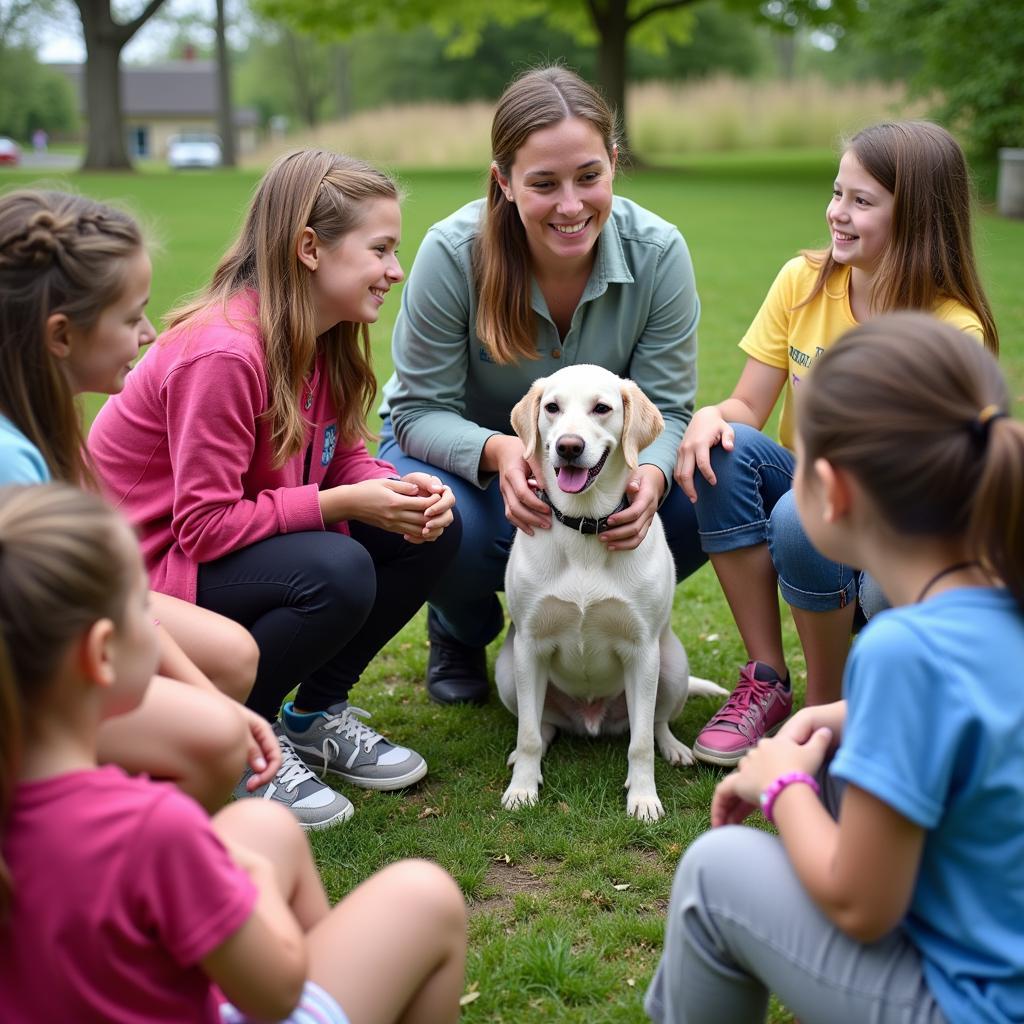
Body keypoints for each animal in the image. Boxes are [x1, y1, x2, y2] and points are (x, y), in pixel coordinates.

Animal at [497, 364, 729, 819]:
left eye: (601, 408)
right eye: (552, 407)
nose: (569, 447)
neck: (584, 525)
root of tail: (591, 719)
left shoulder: (641, 651)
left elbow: (639, 745)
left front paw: (643, 798)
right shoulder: (530, 645)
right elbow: (528, 734)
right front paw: (522, 789)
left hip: (670, 666)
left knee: (654, 724)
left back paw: (673, 748)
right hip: (508, 671)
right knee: (541, 726)